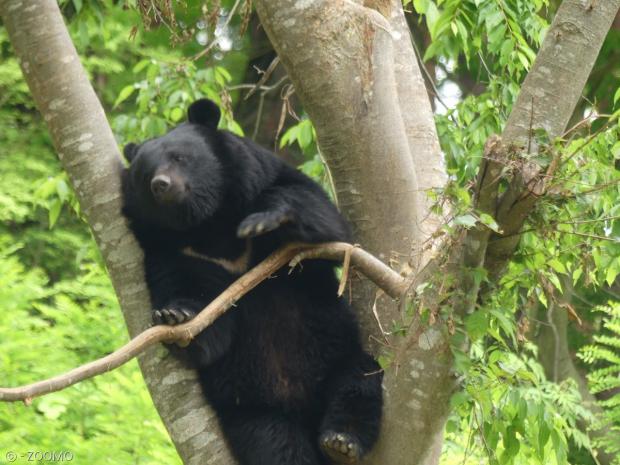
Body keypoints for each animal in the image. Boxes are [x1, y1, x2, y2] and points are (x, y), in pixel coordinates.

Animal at [120, 99, 382, 464]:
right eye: (144, 174)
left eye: (179, 157)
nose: (161, 184)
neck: (206, 223)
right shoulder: (172, 252)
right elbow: (207, 322)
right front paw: (176, 317)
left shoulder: (261, 179)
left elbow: (326, 222)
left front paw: (265, 219)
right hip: (250, 409)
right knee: (275, 444)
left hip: (339, 355)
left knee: (359, 382)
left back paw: (342, 440)